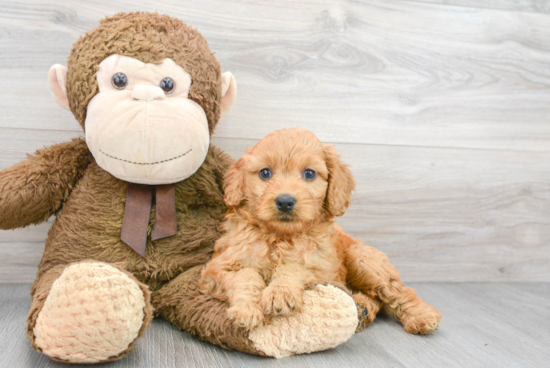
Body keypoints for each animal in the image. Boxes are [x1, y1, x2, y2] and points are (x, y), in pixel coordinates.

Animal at [201, 128, 442, 334]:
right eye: (265, 173)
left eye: (309, 174)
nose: (285, 201)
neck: (281, 236)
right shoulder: (217, 268)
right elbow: (246, 275)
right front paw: (247, 311)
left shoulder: (324, 270)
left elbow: (294, 267)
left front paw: (280, 292)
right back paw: (362, 308)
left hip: (363, 258)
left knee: (397, 293)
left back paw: (421, 316)